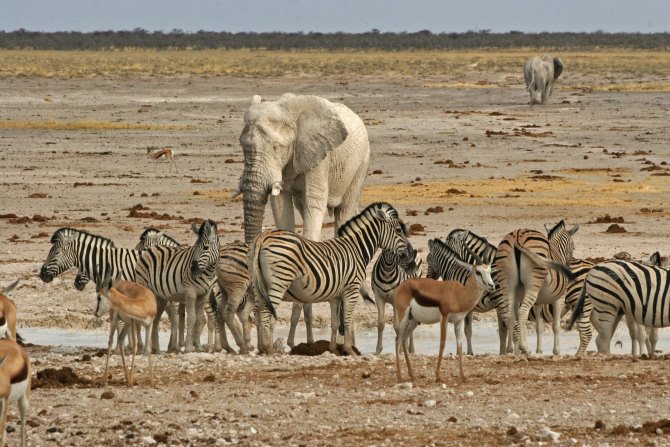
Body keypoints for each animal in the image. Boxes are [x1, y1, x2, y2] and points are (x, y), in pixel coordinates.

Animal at [135, 220, 222, 354]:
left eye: (206, 248)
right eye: (195, 246)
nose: (192, 269)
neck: (208, 272)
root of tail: (152, 250)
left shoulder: (203, 295)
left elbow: (197, 319)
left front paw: (196, 346)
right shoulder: (189, 293)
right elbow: (189, 318)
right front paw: (187, 347)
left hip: (160, 297)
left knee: (156, 318)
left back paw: (156, 349)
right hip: (146, 289)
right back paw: (143, 349)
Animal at [238, 93, 376, 348]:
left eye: (276, 147)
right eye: (242, 147)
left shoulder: (319, 155)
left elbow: (315, 203)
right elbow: (281, 207)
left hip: (361, 164)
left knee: (344, 212)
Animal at [249, 204, 418, 356]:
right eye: (398, 231)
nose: (412, 262)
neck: (356, 249)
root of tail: (263, 236)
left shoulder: (335, 296)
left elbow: (335, 322)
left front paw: (333, 349)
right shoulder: (352, 289)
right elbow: (348, 319)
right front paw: (349, 350)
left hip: (259, 286)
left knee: (258, 312)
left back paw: (261, 348)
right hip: (278, 283)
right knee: (266, 312)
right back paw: (269, 348)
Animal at [396, 242, 496, 384]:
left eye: (490, 271)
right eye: (478, 271)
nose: (491, 286)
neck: (459, 295)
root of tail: (401, 286)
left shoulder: (458, 321)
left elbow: (459, 345)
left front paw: (463, 376)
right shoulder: (444, 318)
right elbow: (442, 343)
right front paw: (438, 376)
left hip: (414, 320)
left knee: (404, 339)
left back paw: (412, 375)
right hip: (403, 316)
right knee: (398, 339)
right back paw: (400, 377)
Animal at [496, 221, 580, 356]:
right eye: (573, 247)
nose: (569, 267)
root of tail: (517, 237)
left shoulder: (538, 302)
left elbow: (539, 327)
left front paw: (539, 351)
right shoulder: (560, 297)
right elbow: (556, 325)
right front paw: (557, 351)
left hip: (507, 285)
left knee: (510, 315)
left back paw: (509, 349)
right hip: (532, 285)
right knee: (522, 312)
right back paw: (525, 348)